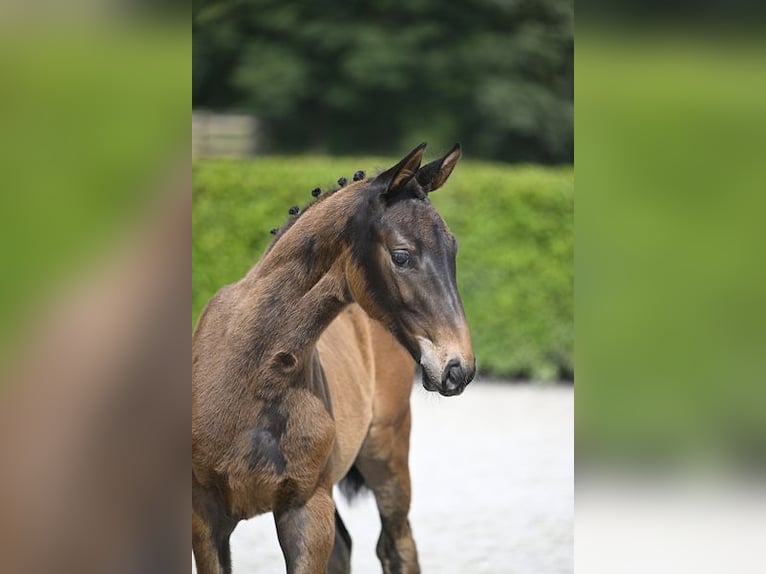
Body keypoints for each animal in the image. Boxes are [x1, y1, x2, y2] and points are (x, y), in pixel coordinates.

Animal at [192, 145, 476, 574]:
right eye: (402, 256)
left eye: (453, 250)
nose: (458, 368)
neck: (253, 377)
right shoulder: (205, 515)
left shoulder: (307, 508)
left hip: (387, 449)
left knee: (396, 543)